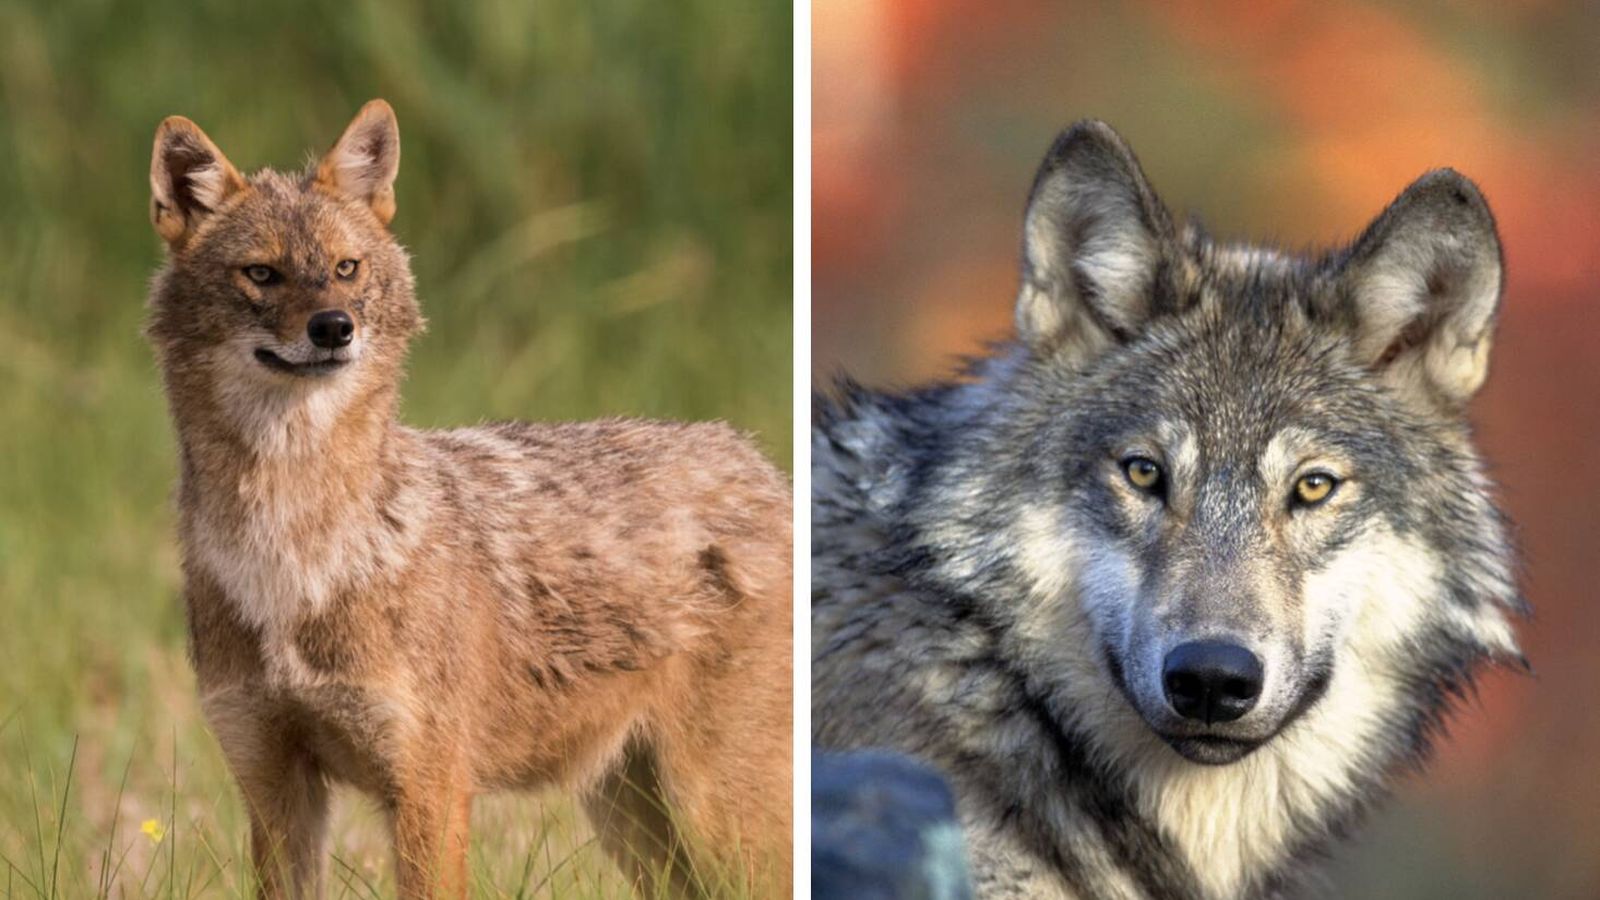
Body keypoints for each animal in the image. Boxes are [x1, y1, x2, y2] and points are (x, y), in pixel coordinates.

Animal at [145, 100, 792, 899]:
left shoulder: (432, 785)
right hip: (634, 822)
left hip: (719, 819)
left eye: (346, 268)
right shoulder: (274, 788)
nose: (334, 328)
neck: (291, 555)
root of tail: (760, 464)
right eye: (261, 274)